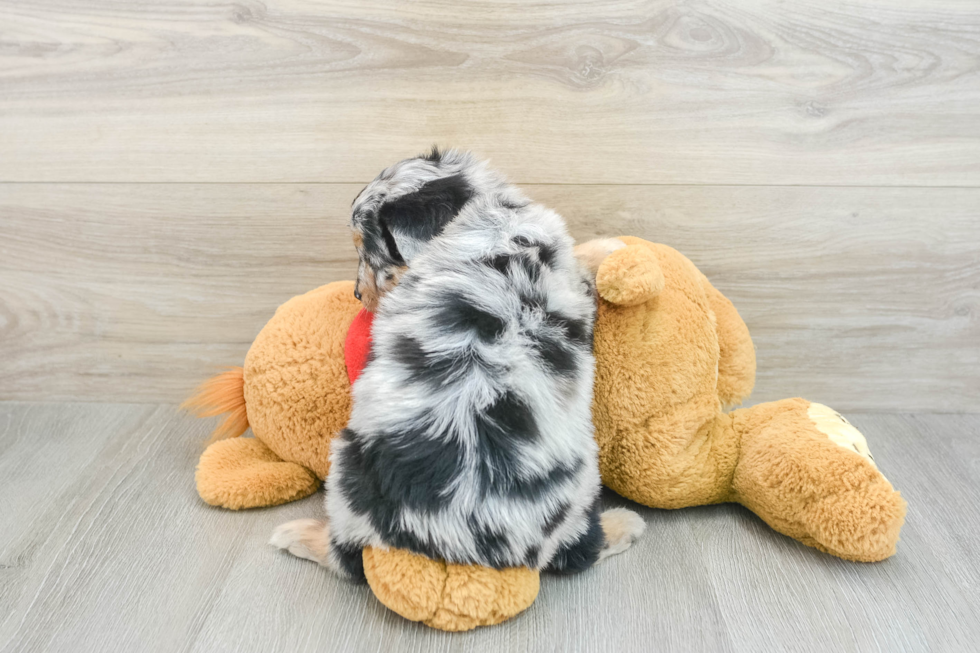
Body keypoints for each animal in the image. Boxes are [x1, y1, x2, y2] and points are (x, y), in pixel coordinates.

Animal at [270, 149, 644, 580]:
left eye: (367, 252)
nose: (357, 295)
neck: (482, 218)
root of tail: (457, 548)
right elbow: (578, 258)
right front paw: (609, 246)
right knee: (578, 550)